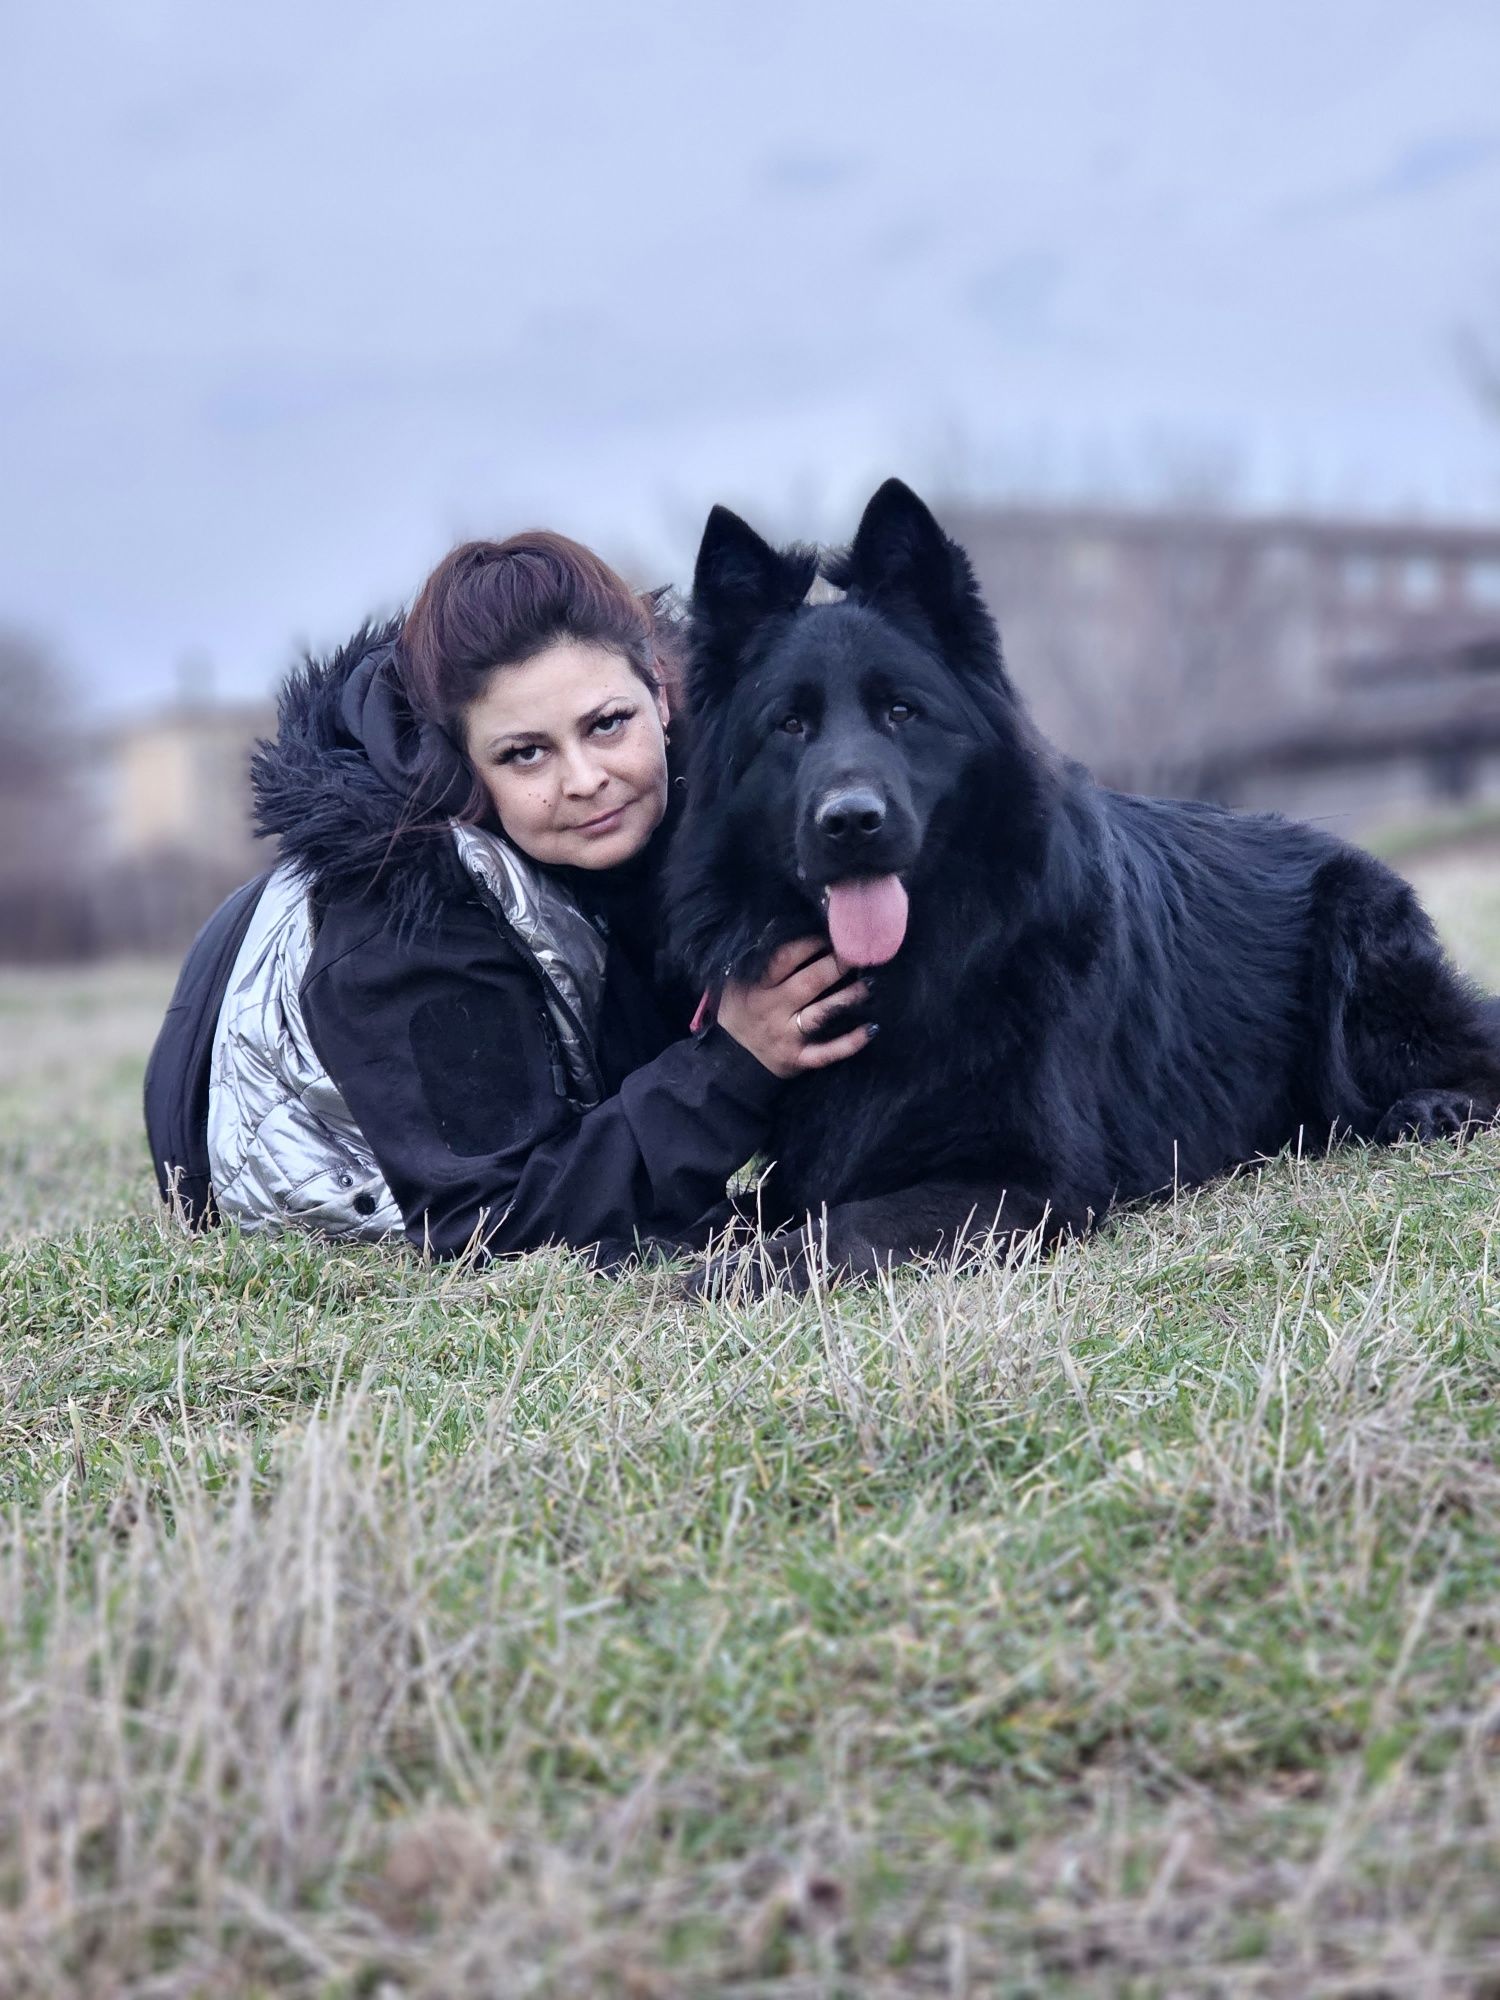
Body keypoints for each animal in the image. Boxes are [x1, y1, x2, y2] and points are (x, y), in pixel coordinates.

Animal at [668, 480, 1500, 1280]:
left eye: (901, 711)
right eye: (791, 726)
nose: (850, 822)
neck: (923, 966)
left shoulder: (1030, 1184)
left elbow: (845, 1225)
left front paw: (744, 1270)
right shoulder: (800, 1174)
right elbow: (740, 1208)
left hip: (1360, 969)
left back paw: (1433, 1109)